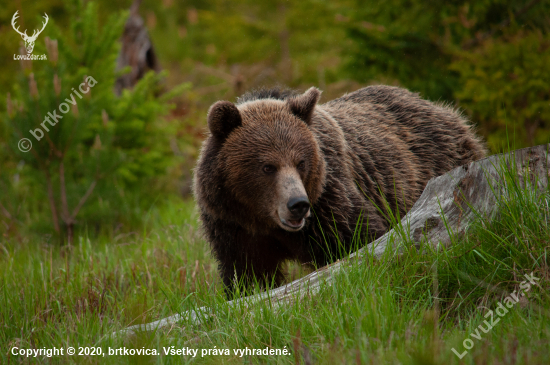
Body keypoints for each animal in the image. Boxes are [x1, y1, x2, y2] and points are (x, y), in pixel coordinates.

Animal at [194, 85, 488, 296]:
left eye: (301, 162)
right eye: (267, 166)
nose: (298, 204)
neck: (264, 220)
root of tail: (441, 108)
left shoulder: (331, 204)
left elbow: (361, 241)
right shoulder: (233, 227)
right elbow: (249, 275)